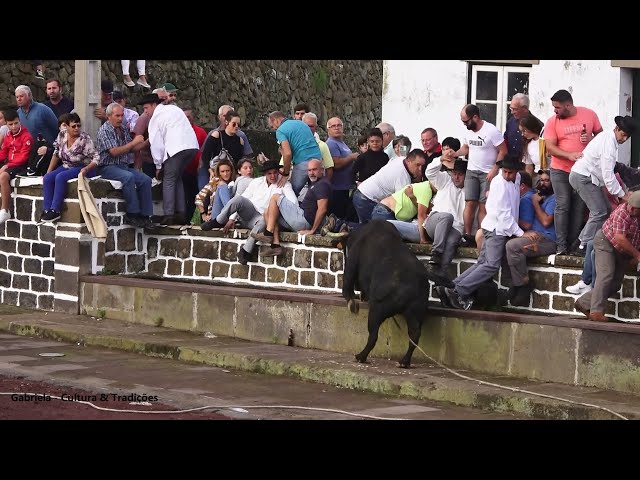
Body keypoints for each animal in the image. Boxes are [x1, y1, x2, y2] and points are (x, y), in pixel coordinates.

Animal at [340, 219, 456, 370]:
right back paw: (404, 361)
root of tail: (419, 274)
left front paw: (352, 303)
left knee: (373, 335)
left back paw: (361, 356)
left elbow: (347, 283)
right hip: (415, 312)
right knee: (414, 335)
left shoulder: (352, 262)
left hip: (377, 310)